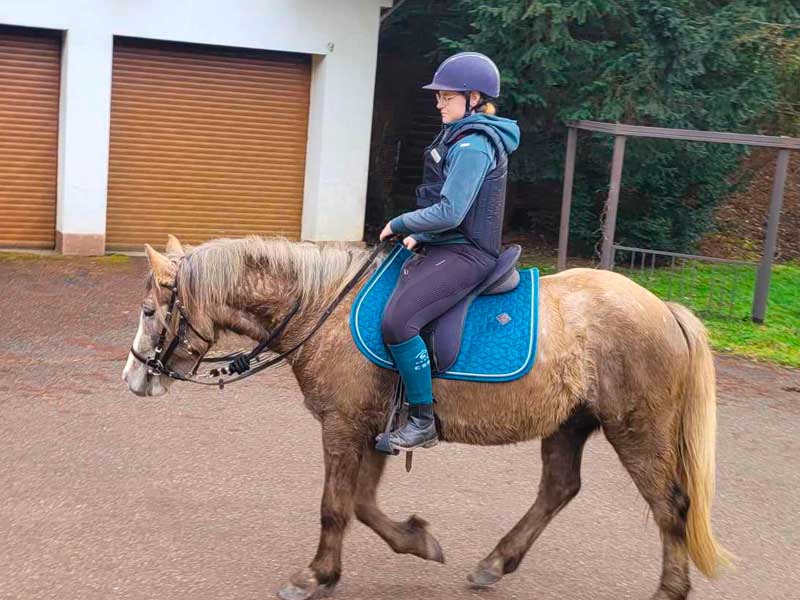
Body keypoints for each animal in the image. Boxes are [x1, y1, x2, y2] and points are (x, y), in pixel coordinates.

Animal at [122, 234, 728, 600]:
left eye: (151, 311)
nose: (133, 378)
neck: (326, 306)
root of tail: (663, 309)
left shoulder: (342, 426)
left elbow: (334, 508)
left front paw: (315, 575)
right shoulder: (370, 430)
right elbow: (363, 506)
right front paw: (417, 541)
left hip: (637, 431)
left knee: (670, 506)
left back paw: (668, 589)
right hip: (570, 425)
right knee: (559, 490)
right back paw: (494, 564)